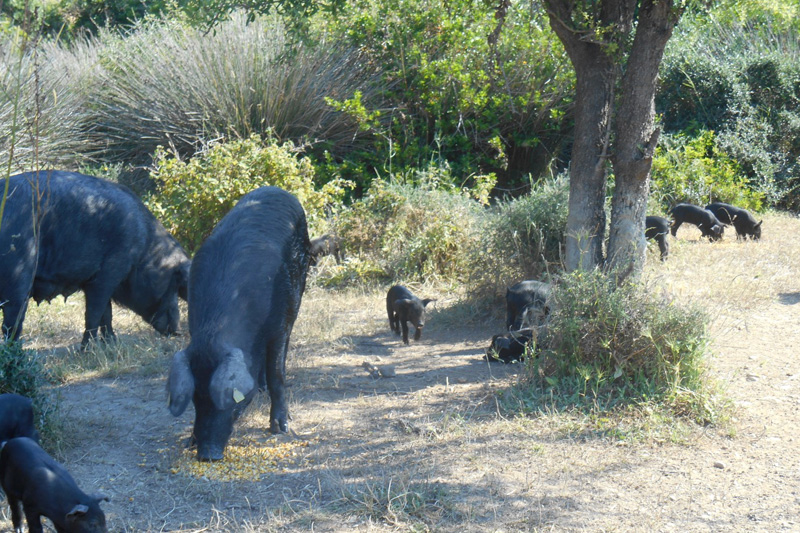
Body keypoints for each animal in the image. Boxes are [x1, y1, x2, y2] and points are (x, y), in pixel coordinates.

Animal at [0, 169, 191, 344]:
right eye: (172, 283)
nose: (177, 332)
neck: (143, 251)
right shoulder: (107, 274)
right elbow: (94, 313)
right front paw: (87, 349)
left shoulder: (98, 280)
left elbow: (107, 314)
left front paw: (111, 343)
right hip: (18, 271)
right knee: (13, 319)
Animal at [166, 187, 310, 462]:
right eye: (195, 399)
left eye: (230, 401)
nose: (207, 454)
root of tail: (278, 190)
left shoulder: (278, 325)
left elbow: (277, 373)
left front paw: (281, 428)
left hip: (300, 285)